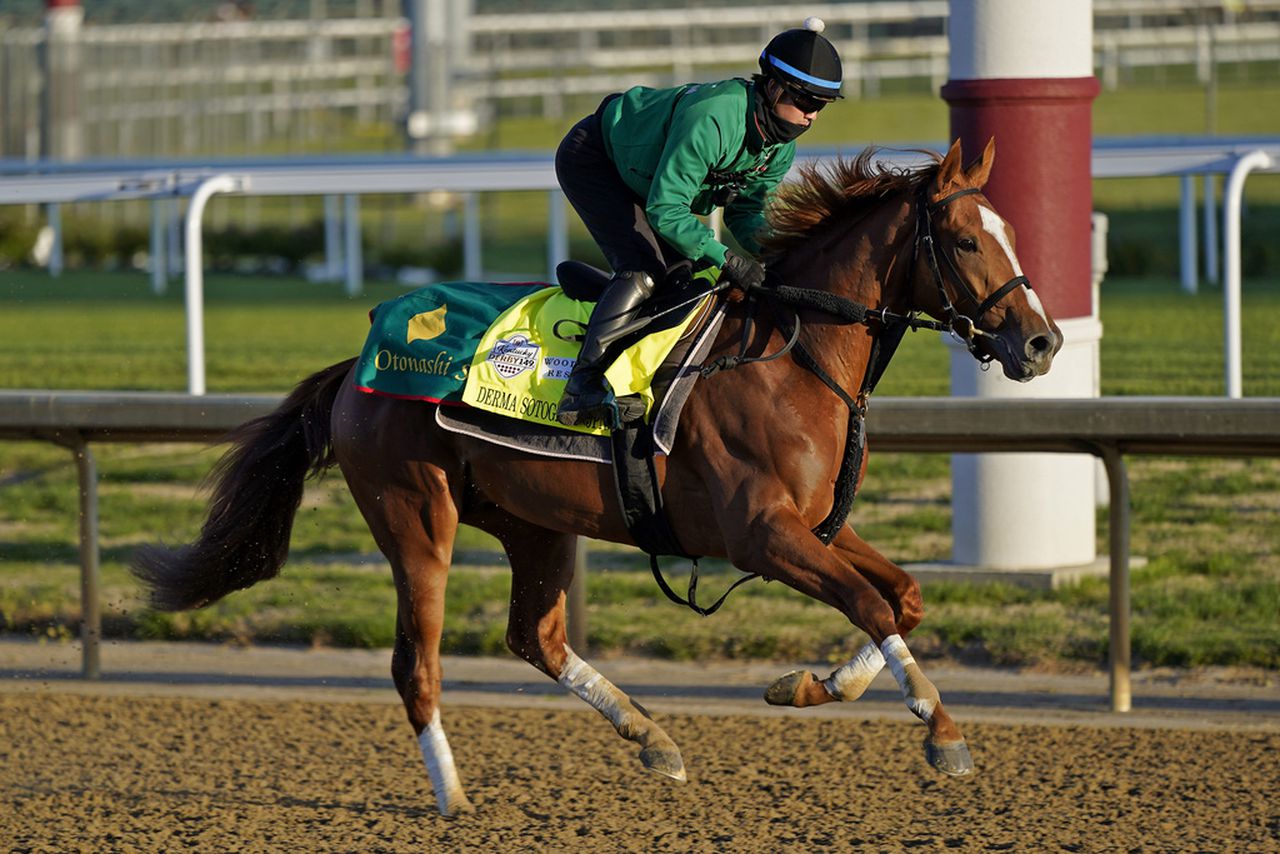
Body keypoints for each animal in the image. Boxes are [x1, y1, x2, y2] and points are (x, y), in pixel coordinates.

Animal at [135, 138, 1064, 814]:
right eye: (967, 239)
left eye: (1014, 232)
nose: (1042, 341)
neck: (792, 355)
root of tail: (359, 357)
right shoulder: (760, 535)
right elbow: (871, 603)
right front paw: (941, 731)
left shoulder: (811, 524)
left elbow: (903, 596)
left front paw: (807, 684)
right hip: (415, 516)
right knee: (415, 663)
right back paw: (453, 796)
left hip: (532, 521)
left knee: (537, 638)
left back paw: (653, 738)